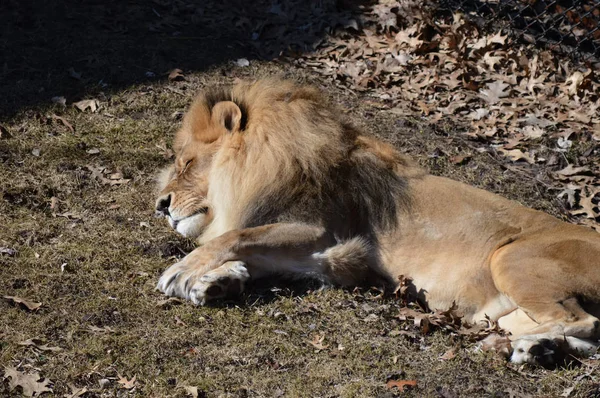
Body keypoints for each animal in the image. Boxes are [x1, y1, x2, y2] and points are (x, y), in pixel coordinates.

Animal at [155, 78, 600, 366]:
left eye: (187, 163)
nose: (161, 204)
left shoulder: (319, 229)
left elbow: (234, 234)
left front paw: (181, 273)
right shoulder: (333, 253)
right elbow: (251, 250)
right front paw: (219, 280)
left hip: (510, 260)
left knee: (583, 321)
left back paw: (515, 347)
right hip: (505, 307)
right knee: (591, 335)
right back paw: (533, 349)